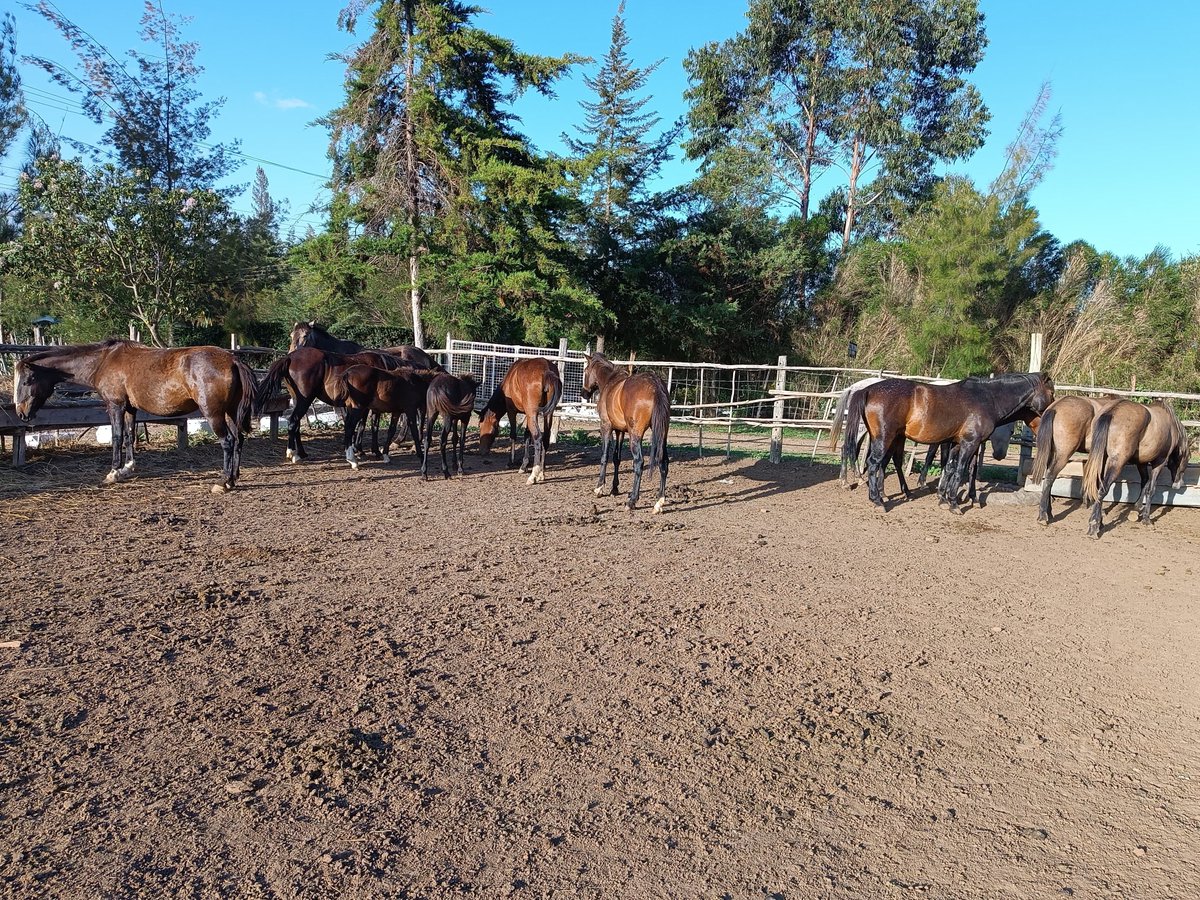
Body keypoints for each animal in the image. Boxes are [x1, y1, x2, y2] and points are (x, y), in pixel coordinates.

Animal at [14, 340, 258, 493]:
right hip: (230, 412)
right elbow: (130, 436)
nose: (21, 413)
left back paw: (223, 481)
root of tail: (232, 360)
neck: (103, 361)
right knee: (238, 440)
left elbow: (117, 438)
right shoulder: (130, 408)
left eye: (26, 381)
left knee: (227, 442)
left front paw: (114, 472)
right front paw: (128, 468)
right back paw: (233, 479)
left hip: (214, 413)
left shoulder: (115, 406)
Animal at [580, 352, 670, 513]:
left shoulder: (606, 427)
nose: (584, 393)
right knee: (663, 462)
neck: (610, 382)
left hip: (636, 436)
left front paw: (600, 488)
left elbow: (605, 456)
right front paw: (614, 489)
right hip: (662, 436)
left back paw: (632, 501)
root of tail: (655, 386)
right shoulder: (620, 431)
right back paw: (659, 502)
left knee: (639, 463)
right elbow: (617, 458)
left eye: (585, 371)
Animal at [843, 372, 1055, 513]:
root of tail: (868, 389)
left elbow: (952, 468)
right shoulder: (970, 443)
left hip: (889, 437)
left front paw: (945, 498)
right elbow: (960, 470)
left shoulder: (958, 443)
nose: (1051, 418)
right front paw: (953, 503)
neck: (987, 399)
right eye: (1051, 393)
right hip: (886, 437)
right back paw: (878, 500)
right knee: (874, 462)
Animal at [1081, 399, 1190, 538]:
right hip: (1117, 463)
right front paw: (1146, 518)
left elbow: (1144, 482)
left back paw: (1099, 522)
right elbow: (1151, 489)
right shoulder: (1159, 462)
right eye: (1186, 460)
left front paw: (1137, 508)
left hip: (1101, 459)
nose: (1179, 485)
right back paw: (1094, 525)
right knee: (1102, 489)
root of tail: (1112, 411)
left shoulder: (1141, 463)